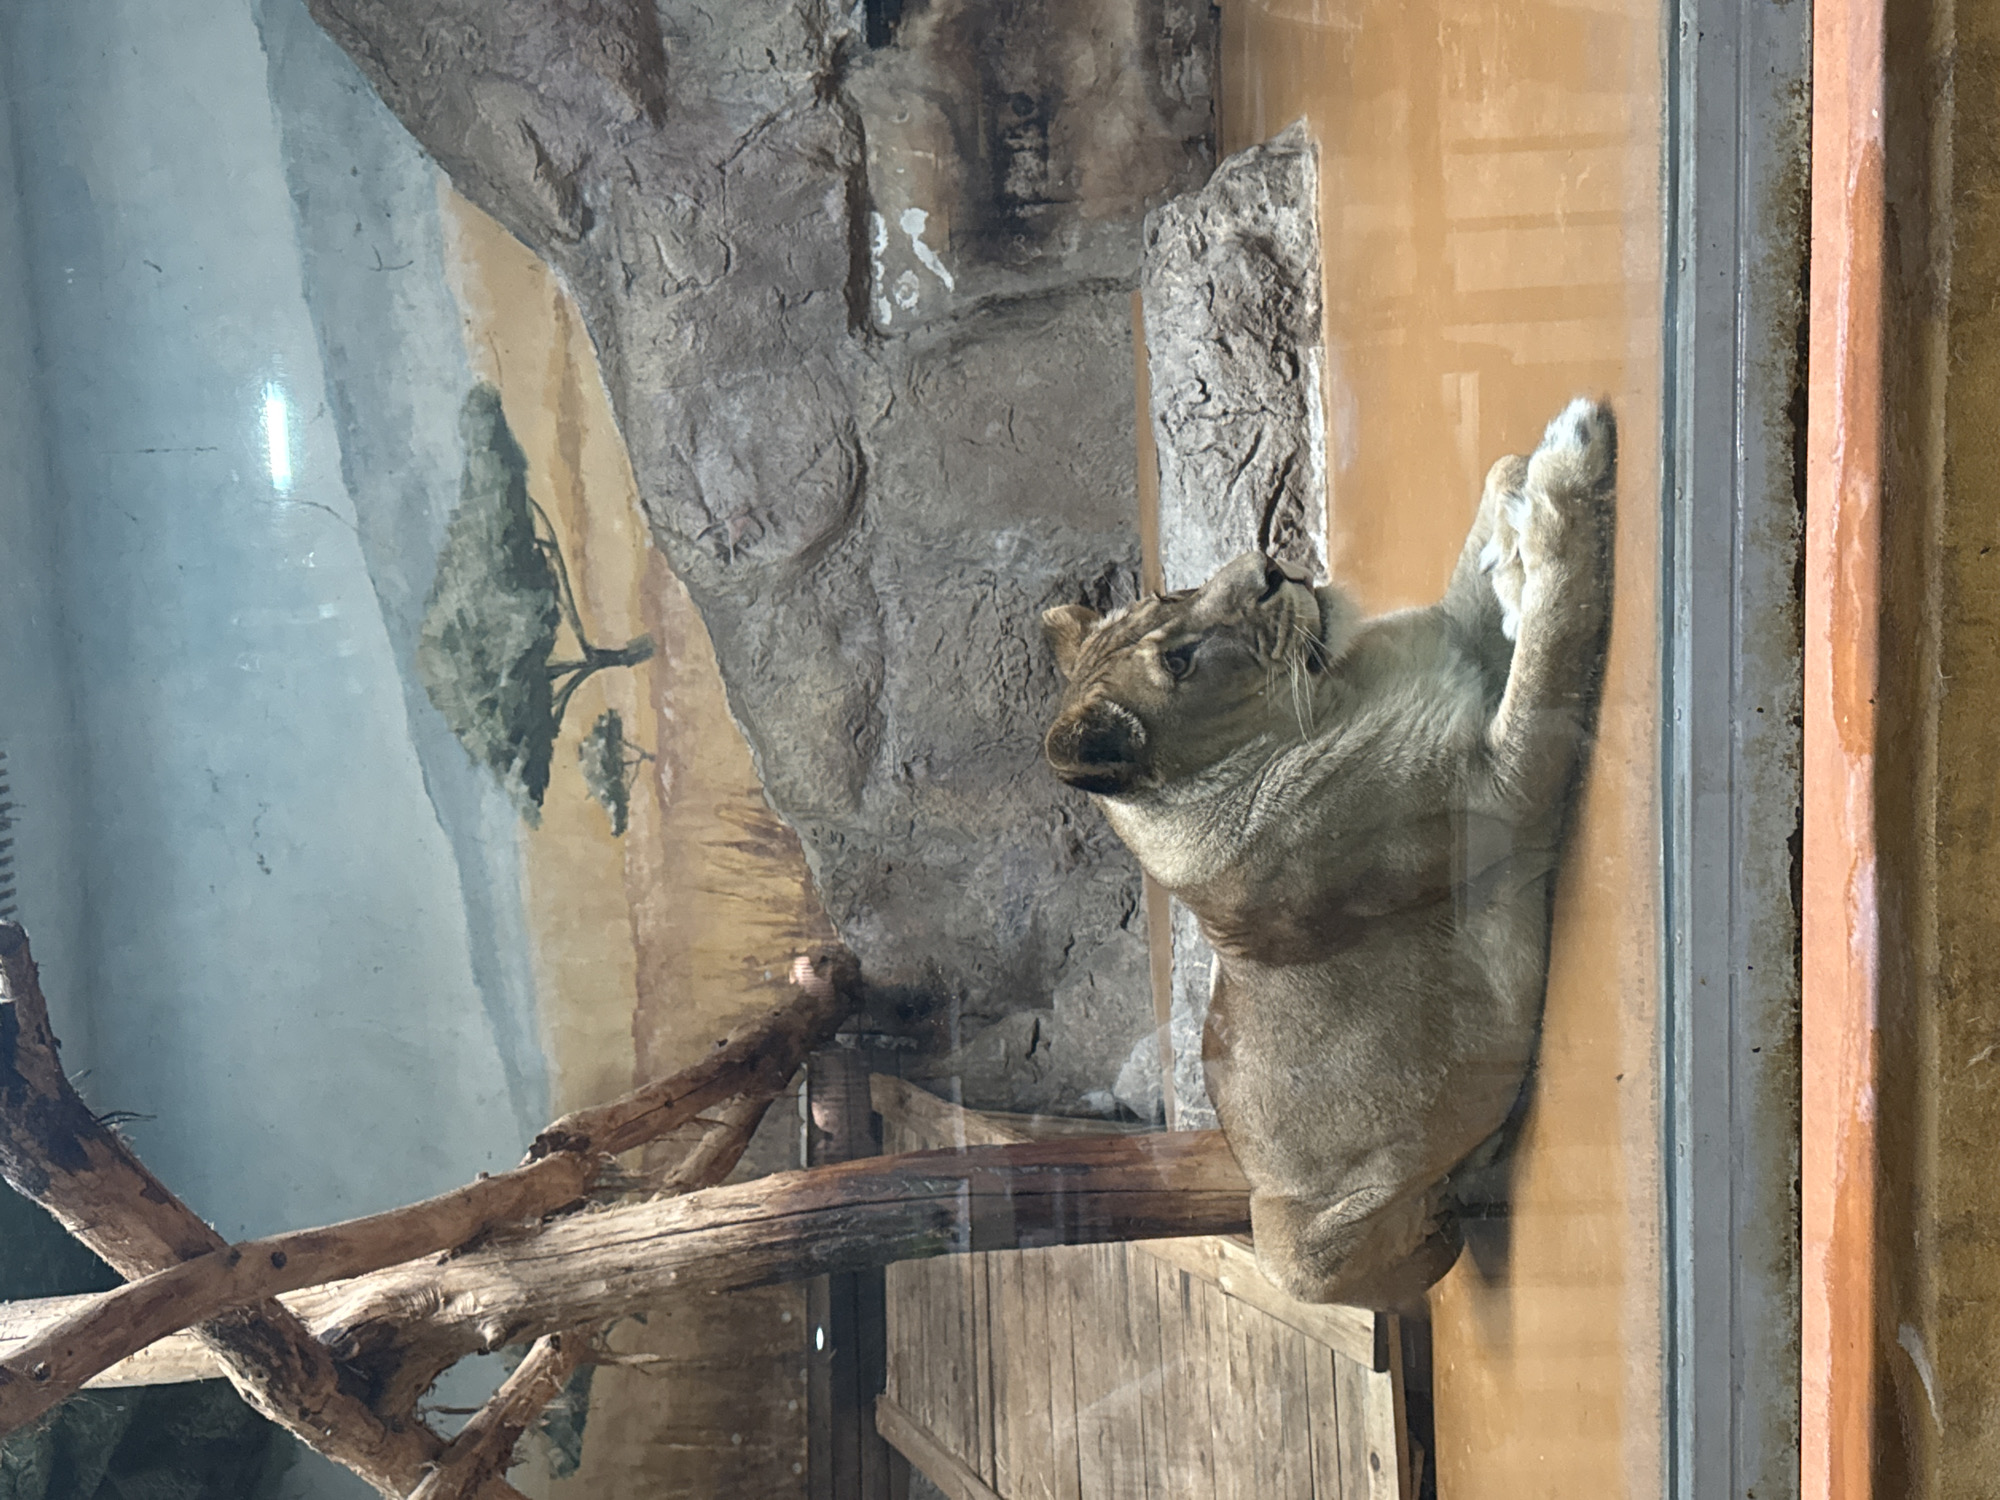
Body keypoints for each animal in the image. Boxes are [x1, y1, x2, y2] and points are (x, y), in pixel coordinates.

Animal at [1041, 398, 1616, 1309]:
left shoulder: (1449, 647)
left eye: (1171, 597)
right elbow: (1557, 630)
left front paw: (1513, 514)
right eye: (1180, 660)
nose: (1270, 571)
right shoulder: (1503, 789)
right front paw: (1565, 465)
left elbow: (1485, 515)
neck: (1335, 684)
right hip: (1297, 1246)